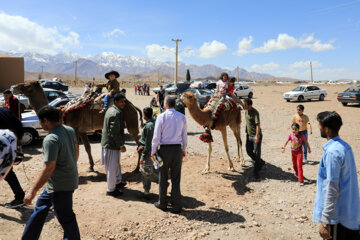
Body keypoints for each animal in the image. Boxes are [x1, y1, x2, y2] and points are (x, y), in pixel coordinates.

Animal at [14, 81, 143, 172]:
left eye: (28, 85)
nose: (14, 87)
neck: (61, 112)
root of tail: (133, 106)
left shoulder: (74, 128)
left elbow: (76, 148)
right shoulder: (82, 130)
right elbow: (87, 148)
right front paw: (91, 167)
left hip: (131, 123)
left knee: (139, 144)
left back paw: (137, 169)